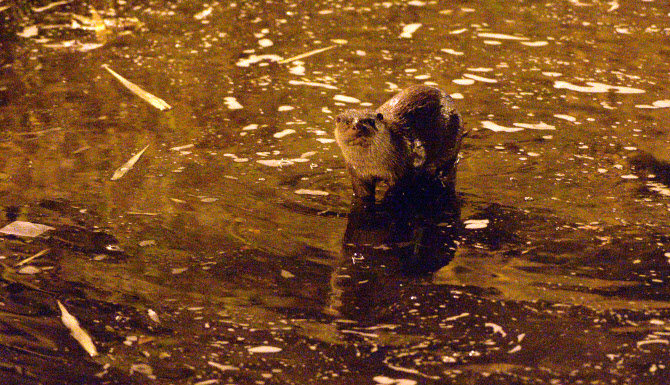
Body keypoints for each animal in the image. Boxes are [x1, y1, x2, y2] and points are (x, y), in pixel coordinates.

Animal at [336, 84, 468, 204]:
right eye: (347, 122)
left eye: (371, 121)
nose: (358, 126)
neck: (372, 165)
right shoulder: (357, 174)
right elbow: (362, 192)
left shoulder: (411, 160)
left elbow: (398, 187)